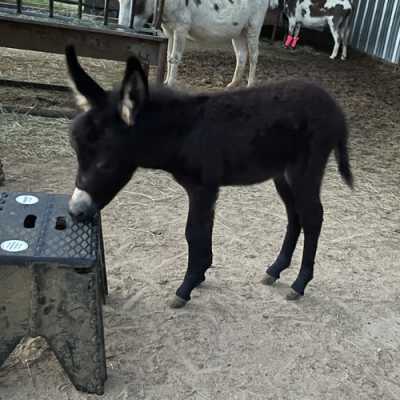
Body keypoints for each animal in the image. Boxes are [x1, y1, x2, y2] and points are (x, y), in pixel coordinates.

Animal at [65, 47, 354, 308]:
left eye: (104, 164)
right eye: (76, 152)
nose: (75, 212)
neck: (183, 134)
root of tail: (337, 109)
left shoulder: (202, 188)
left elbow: (194, 232)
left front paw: (186, 287)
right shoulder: (209, 189)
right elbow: (205, 231)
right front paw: (201, 274)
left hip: (306, 170)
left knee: (313, 217)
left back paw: (299, 283)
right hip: (282, 175)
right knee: (295, 215)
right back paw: (275, 270)